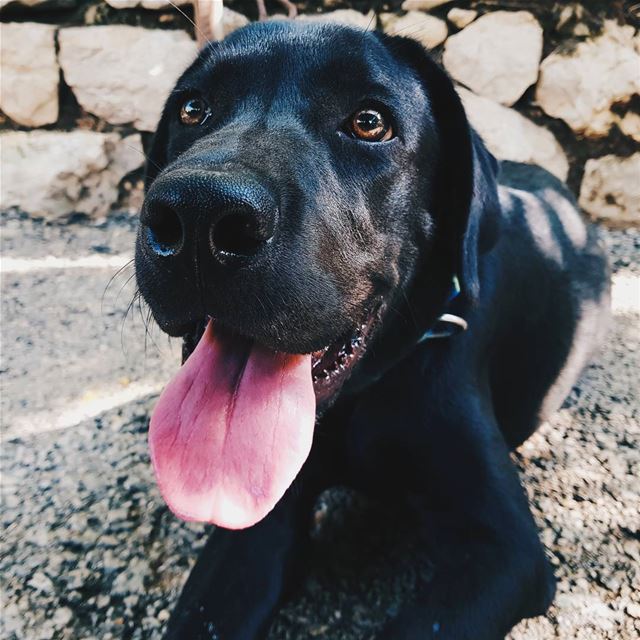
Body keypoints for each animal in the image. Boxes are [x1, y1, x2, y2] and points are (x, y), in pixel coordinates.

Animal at [135, 21, 608, 640]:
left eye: (369, 122)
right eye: (193, 109)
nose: (198, 214)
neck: (362, 397)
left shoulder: (503, 551)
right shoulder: (254, 527)